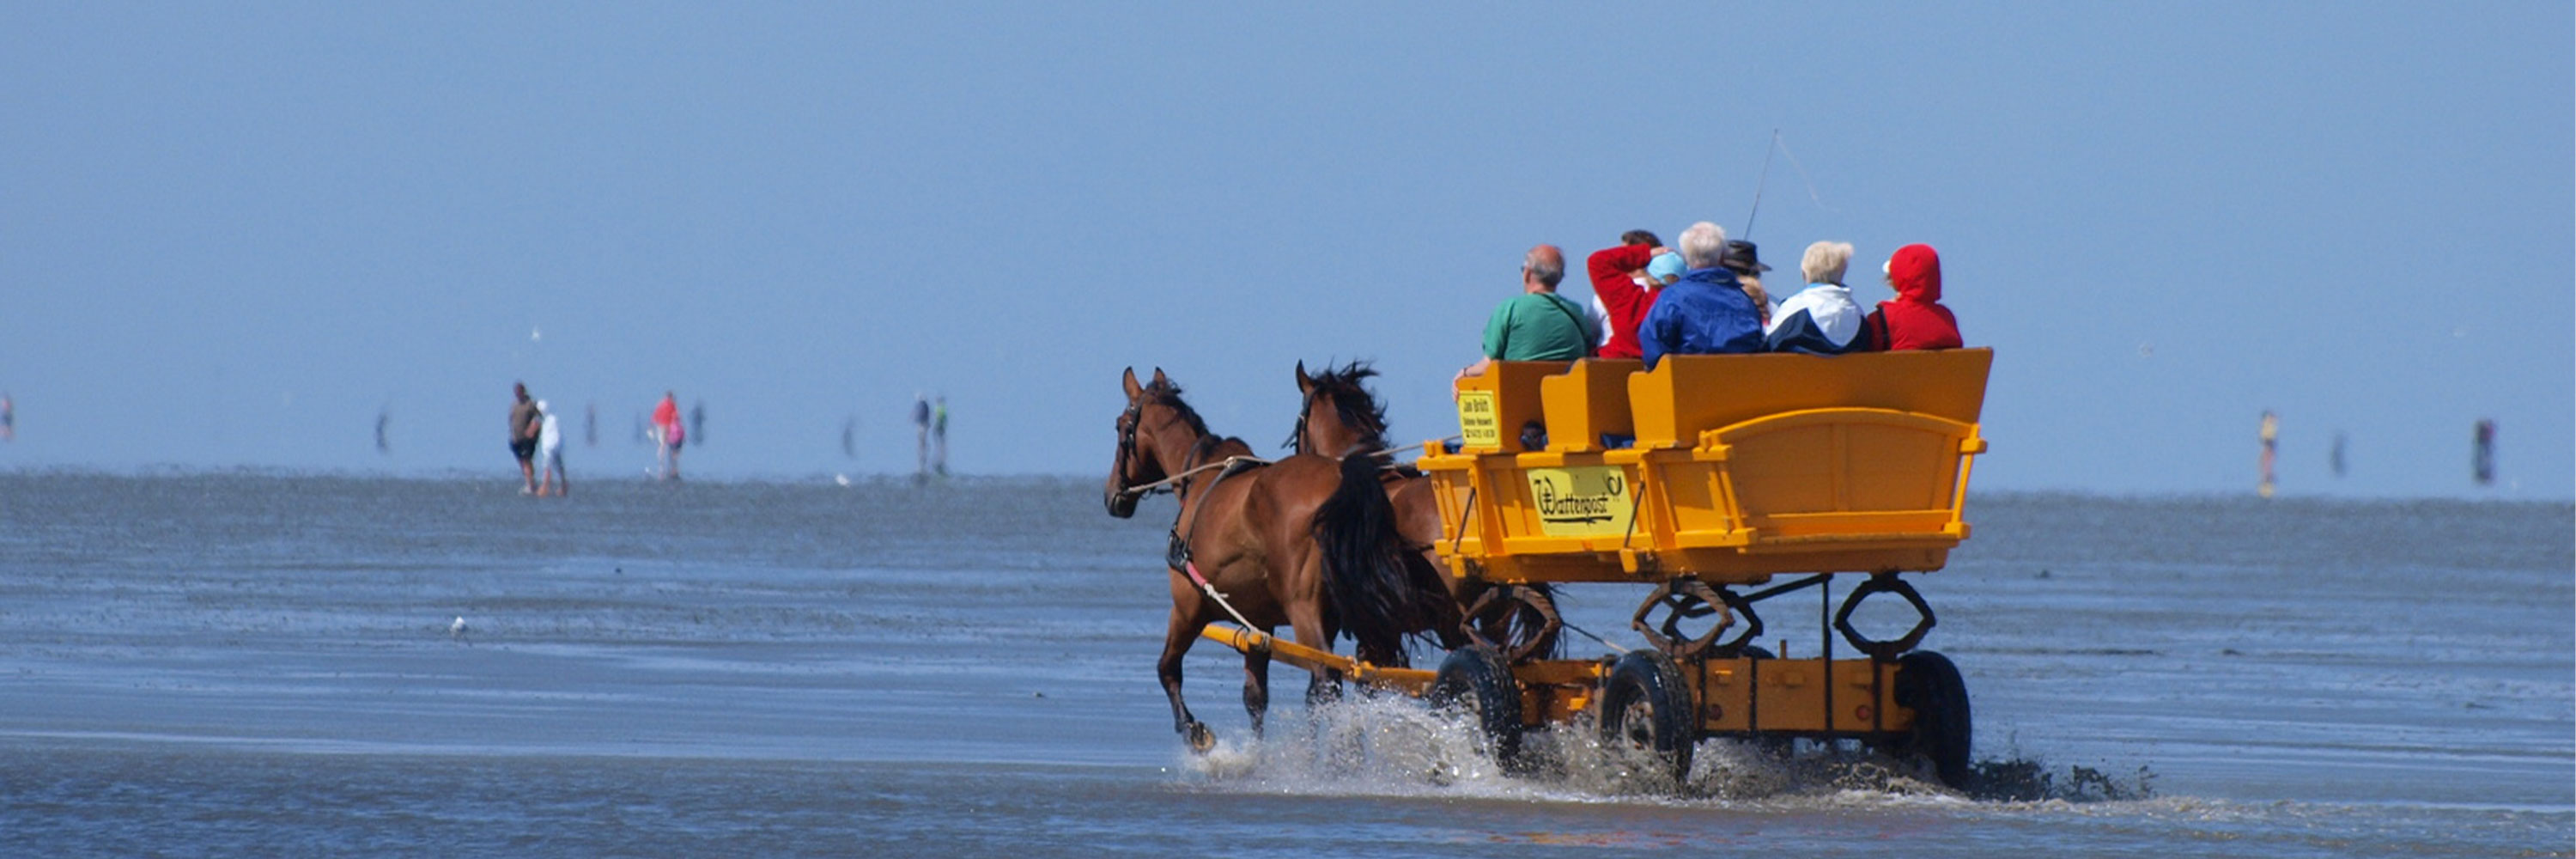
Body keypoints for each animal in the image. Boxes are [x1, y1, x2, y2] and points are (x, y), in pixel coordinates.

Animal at [1108, 363, 1473, 747]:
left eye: (1120, 426)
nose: (1112, 495)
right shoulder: (1260, 623)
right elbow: (1256, 696)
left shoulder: (1188, 608)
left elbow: (1167, 669)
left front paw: (1195, 731)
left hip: (1318, 610)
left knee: (1330, 680)